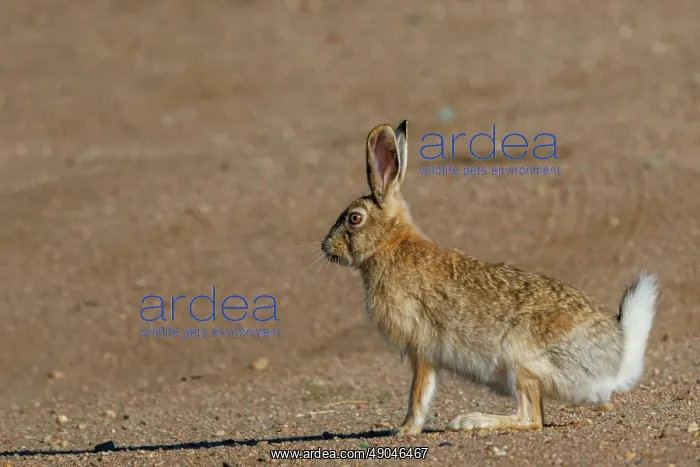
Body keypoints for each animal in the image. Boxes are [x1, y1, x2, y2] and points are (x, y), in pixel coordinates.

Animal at [320, 120, 659, 437]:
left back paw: (470, 420)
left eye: (354, 218)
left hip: (520, 359)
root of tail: (614, 365)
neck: (388, 244)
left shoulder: (421, 346)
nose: (326, 247)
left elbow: (419, 392)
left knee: (530, 418)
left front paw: (404, 430)